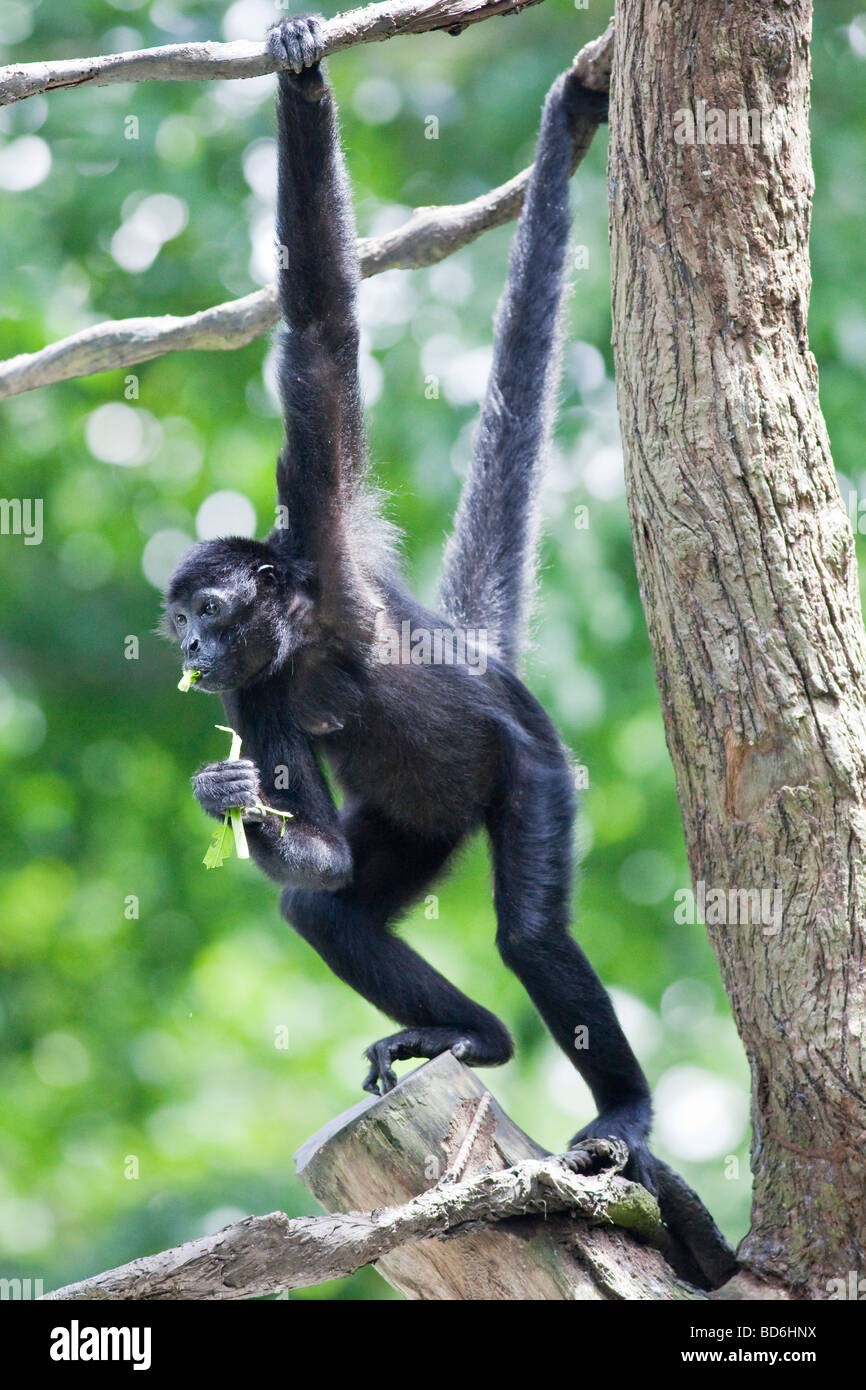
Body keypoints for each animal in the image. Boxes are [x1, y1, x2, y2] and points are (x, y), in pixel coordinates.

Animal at [166, 16, 656, 1189]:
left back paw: (619, 1108)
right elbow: (325, 864)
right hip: (421, 822)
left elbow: (320, 333)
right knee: (325, 903)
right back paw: (475, 1034)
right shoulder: (252, 696)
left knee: (531, 937)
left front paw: (301, 70)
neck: (301, 642)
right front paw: (224, 796)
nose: (190, 650)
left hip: (528, 773)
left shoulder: (321, 529)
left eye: (207, 609)